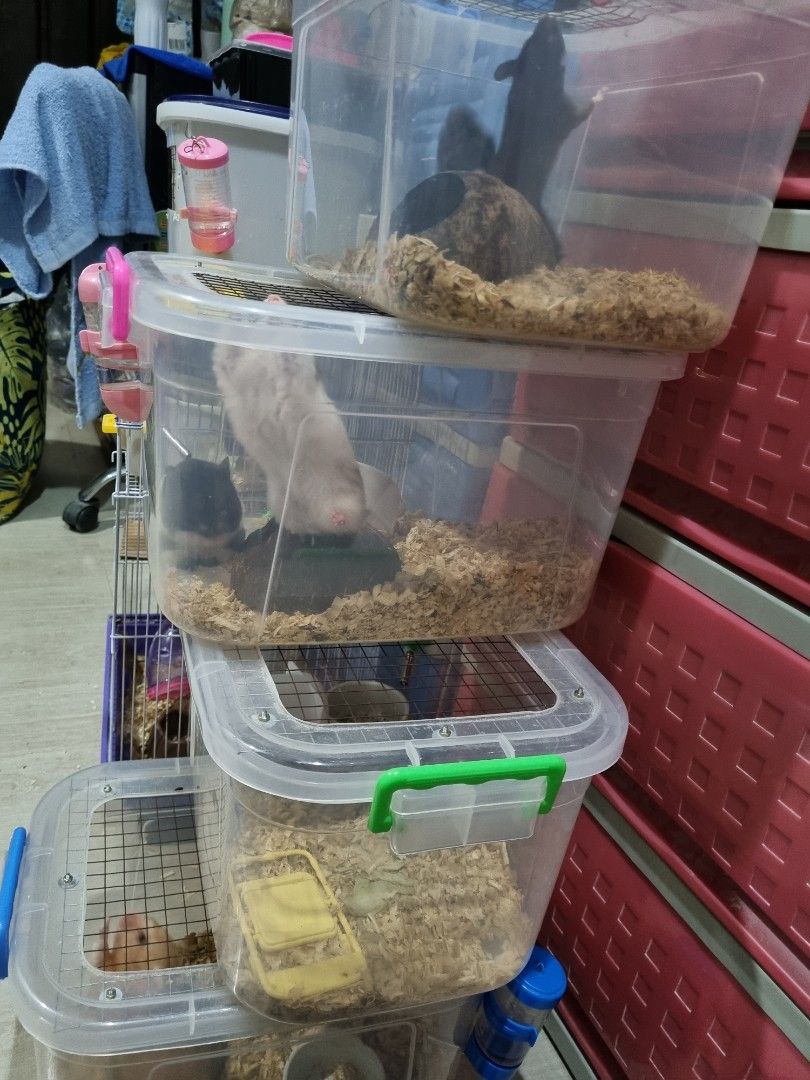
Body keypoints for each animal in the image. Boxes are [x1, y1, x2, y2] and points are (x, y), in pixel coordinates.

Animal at [212, 346, 368, 536]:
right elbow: (230, 365)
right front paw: (228, 349)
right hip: (280, 498)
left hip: (341, 494)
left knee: (344, 521)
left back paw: (337, 518)